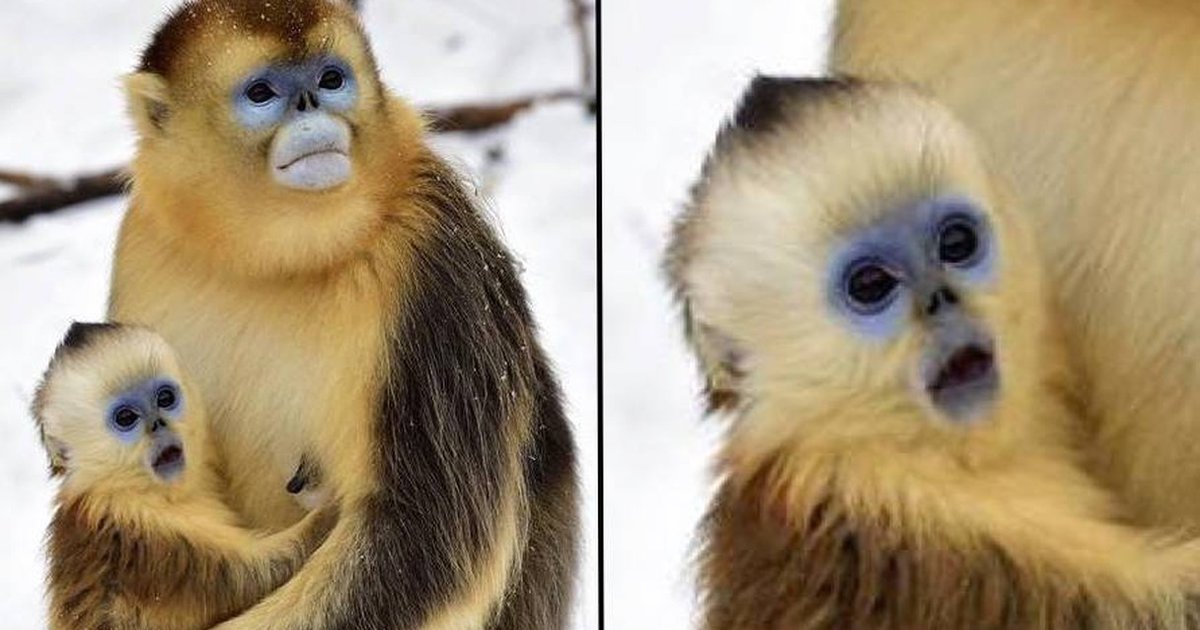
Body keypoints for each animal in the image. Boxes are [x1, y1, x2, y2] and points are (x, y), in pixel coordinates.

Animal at [31, 324, 338, 628]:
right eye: (126, 418)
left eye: (165, 398)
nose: (158, 424)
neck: (142, 489)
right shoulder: (140, 530)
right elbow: (247, 577)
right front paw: (331, 509)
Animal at [110, 1, 578, 628]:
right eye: (262, 92)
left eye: (331, 79)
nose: (312, 104)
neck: (281, 262)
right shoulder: (143, 247)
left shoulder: (433, 264)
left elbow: (424, 536)